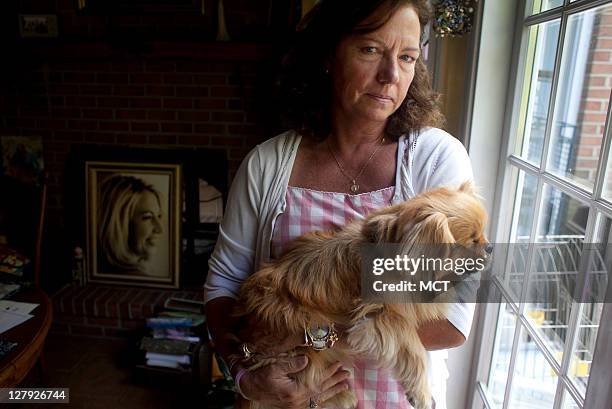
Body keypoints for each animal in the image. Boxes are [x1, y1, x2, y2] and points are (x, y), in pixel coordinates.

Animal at [232, 182, 490, 408]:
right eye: (472, 241)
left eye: (483, 234)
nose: (490, 247)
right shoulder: (380, 317)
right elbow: (412, 345)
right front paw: (421, 393)